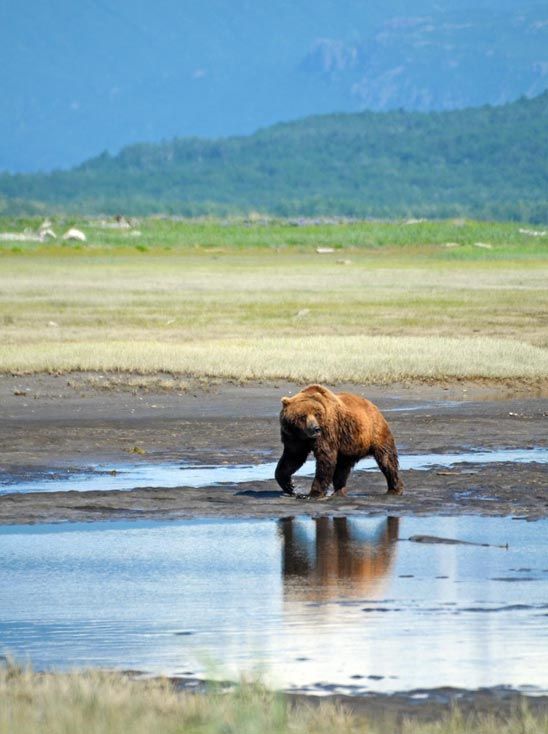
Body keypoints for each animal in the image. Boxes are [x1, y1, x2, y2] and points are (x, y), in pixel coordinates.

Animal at [275, 384, 404, 498]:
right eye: (302, 416)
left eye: (317, 414)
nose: (315, 429)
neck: (304, 436)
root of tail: (374, 407)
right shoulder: (294, 437)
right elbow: (292, 458)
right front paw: (289, 486)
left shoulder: (327, 433)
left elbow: (325, 459)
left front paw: (313, 493)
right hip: (348, 445)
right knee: (342, 468)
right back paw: (339, 491)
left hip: (375, 431)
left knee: (387, 459)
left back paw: (395, 489)